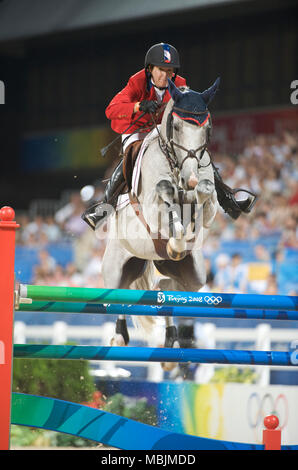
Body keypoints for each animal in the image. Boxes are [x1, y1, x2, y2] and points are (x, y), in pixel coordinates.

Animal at [100, 78, 219, 370]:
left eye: (207, 128)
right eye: (176, 126)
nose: (189, 178)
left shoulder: (207, 200)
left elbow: (204, 192)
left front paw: (189, 227)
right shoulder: (152, 207)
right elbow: (165, 192)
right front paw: (177, 239)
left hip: (192, 275)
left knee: (165, 289)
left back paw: (171, 341)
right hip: (115, 269)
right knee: (119, 296)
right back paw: (119, 337)